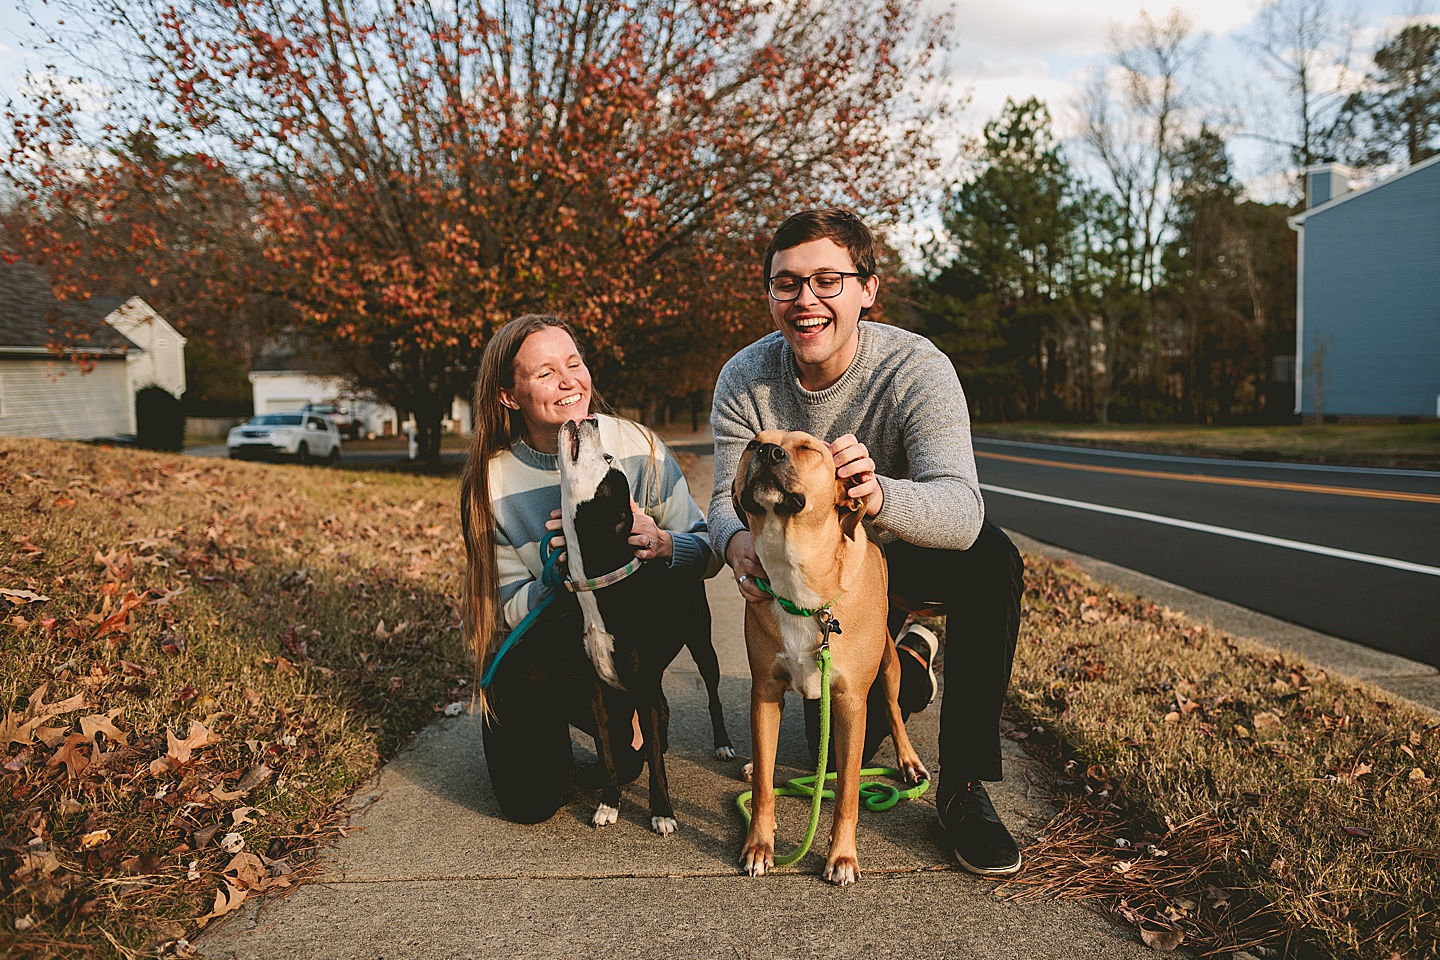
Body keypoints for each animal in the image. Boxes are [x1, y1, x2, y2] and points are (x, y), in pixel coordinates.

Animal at [552, 417, 731, 834]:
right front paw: (608, 803)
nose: (588, 419)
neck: (599, 584)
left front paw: (662, 812)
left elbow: (659, 770)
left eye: (606, 458)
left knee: (711, 694)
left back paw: (722, 743)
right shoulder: (597, 693)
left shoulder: (643, 688)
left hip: (702, 647)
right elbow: (608, 754)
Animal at [737, 428, 927, 886]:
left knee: (894, 710)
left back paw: (908, 760)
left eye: (808, 449)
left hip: (889, 666)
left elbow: (847, 794)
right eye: (752, 444)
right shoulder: (765, 692)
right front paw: (759, 843)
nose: (767, 452)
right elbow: (765, 788)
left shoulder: (850, 704)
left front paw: (841, 855)